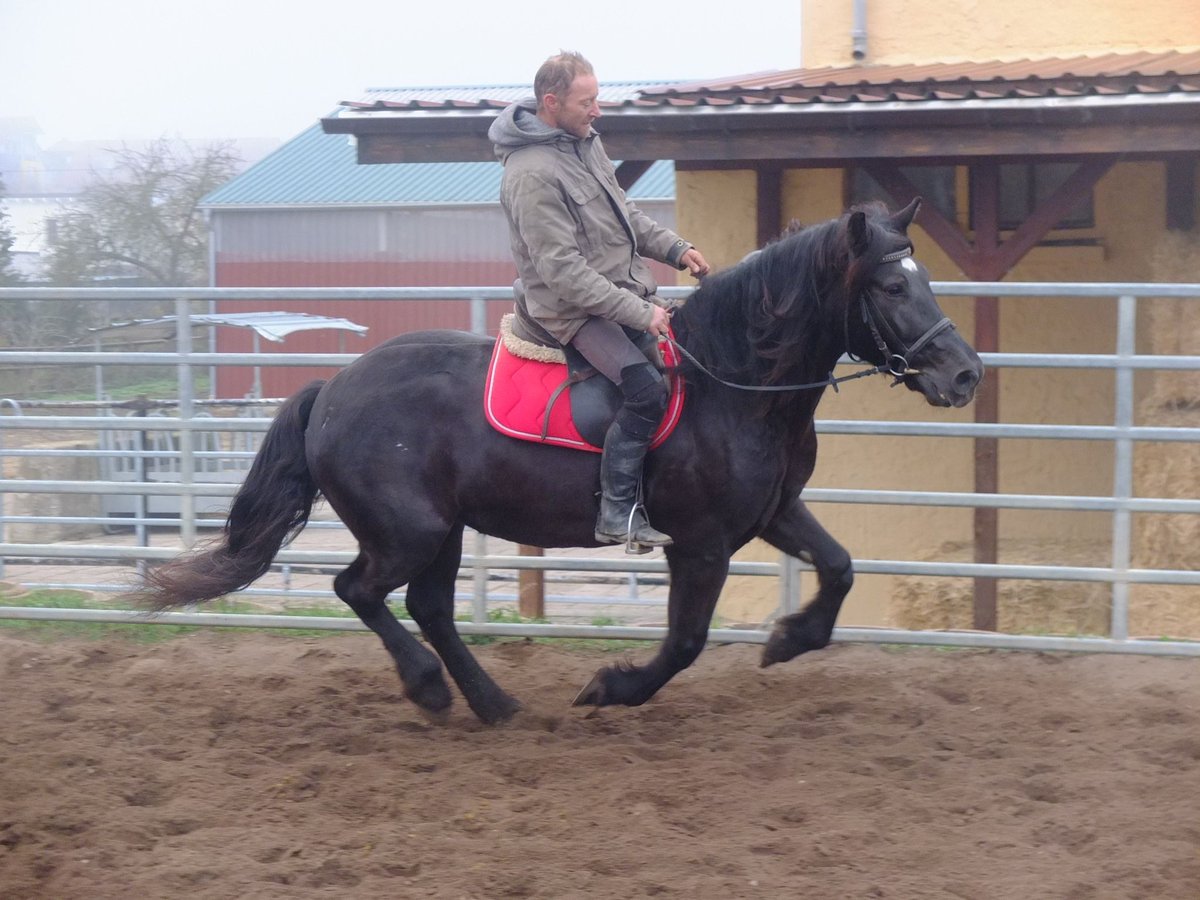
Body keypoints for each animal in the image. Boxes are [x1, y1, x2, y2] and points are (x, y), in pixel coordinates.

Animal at [129, 200, 984, 724]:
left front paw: (787, 639)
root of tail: (332, 387)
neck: (731, 381)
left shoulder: (773, 513)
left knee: (430, 606)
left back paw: (491, 702)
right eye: (888, 285)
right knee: (360, 590)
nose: (965, 373)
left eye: (921, 277)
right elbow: (685, 642)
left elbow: (840, 568)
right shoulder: (700, 544)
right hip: (408, 530)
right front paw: (612, 686)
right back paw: (431, 688)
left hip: (442, 530)